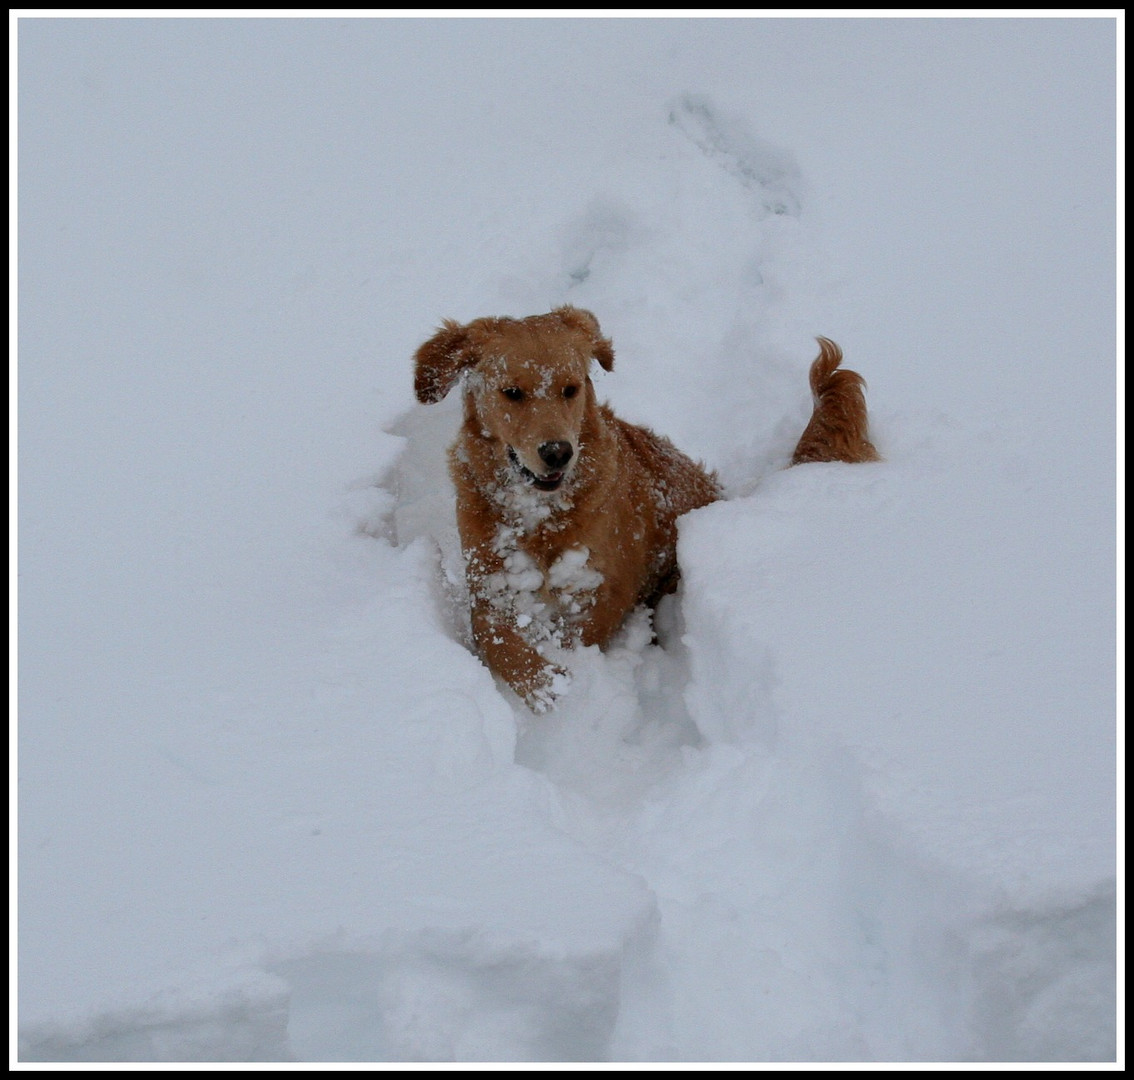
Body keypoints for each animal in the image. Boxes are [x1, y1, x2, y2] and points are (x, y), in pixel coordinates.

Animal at [415, 306, 875, 707]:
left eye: (571, 389)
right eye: (512, 393)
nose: (558, 453)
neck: (542, 515)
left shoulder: (608, 587)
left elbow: (578, 635)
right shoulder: (489, 586)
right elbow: (496, 642)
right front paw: (544, 682)